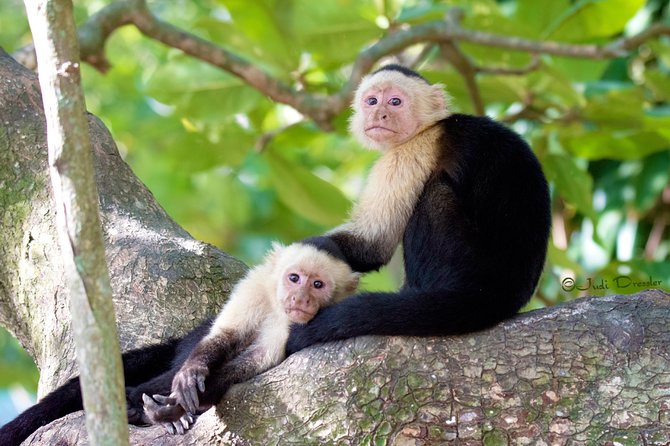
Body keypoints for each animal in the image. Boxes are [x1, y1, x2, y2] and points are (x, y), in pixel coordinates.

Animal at [0, 243, 359, 444]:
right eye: (294, 278)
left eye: (317, 284)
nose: (300, 299)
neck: (275, 305)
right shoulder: (253, 287)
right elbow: (222, 337)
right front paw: (188, 378)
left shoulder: (293, 325)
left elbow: (255, 359)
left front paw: (178, 405)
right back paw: (140, 402)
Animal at [285, 63, 551, 354]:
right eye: (372, 101)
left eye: (395, 102)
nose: (379, 114)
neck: (428, 126)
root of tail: (502, 293)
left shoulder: (411, 152)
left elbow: (373, 244)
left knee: (435, 194)